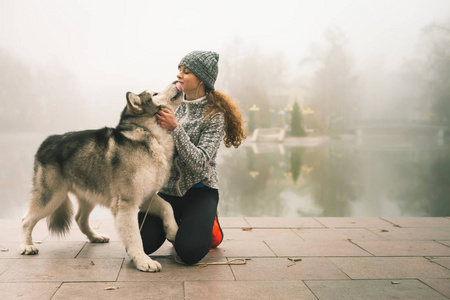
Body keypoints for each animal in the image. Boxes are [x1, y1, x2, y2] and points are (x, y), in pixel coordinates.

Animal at [19, 80, 181, 272]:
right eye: (155, 94)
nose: (176, 81)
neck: (150, 135)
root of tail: (46, 141)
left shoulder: (146, 196)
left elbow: (168, 207)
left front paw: (173, 231)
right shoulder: (127, 202)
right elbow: (135, 236)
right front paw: (143, 260)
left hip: (87, 195)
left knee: (80, 219)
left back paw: (95, 237)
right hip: (52, 198)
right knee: (26, 220)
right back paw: (27, 246)